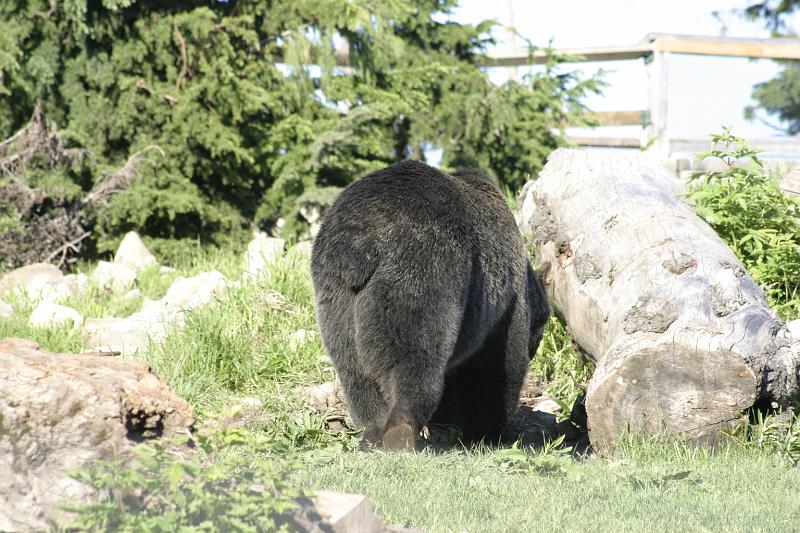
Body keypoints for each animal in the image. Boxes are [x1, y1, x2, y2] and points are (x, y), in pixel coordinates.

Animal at [310, 159, 548, 448]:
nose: (535, 347)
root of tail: (361, 241)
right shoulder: (504, 304)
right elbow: (496, 368)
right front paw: (489, 431)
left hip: (337, 295)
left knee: (354, 369)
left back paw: (372, 433)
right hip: (422, 270)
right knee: (416, 356)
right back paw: (400, 432)